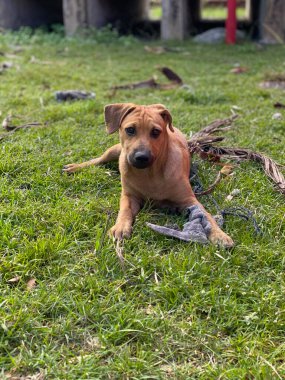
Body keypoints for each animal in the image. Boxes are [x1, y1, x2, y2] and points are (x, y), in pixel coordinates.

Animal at [63, 102, 233, 248]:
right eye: (130, 130)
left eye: (156, 132)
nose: (141, 157)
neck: (150, 173)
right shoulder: (129, 196)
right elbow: (124, 210)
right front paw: (120, 227)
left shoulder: (189, 200)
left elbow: (206, 216)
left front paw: (219, 235)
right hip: (115, 150)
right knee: (99, 159)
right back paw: (75, 167)